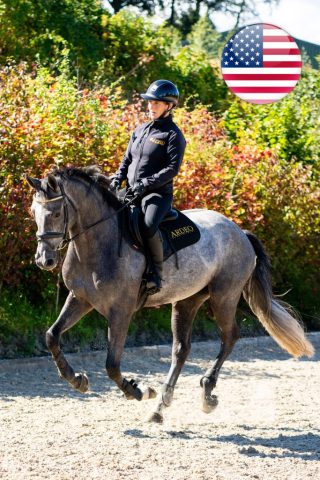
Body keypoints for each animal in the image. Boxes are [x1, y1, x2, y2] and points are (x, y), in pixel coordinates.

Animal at [23, 167, 314, 422]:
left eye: (56, 213)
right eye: (33, 212)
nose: (44, 260)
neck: (97, 244)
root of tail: (239, 231)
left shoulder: (121, 311)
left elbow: (112, 364)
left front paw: (140, 391)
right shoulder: (79, 299)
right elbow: (51, 336)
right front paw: (77, 380)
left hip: (224, 296)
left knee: (229, 337)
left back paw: (206, 392)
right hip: (187, 300)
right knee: (181, 349)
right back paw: (161, 407)